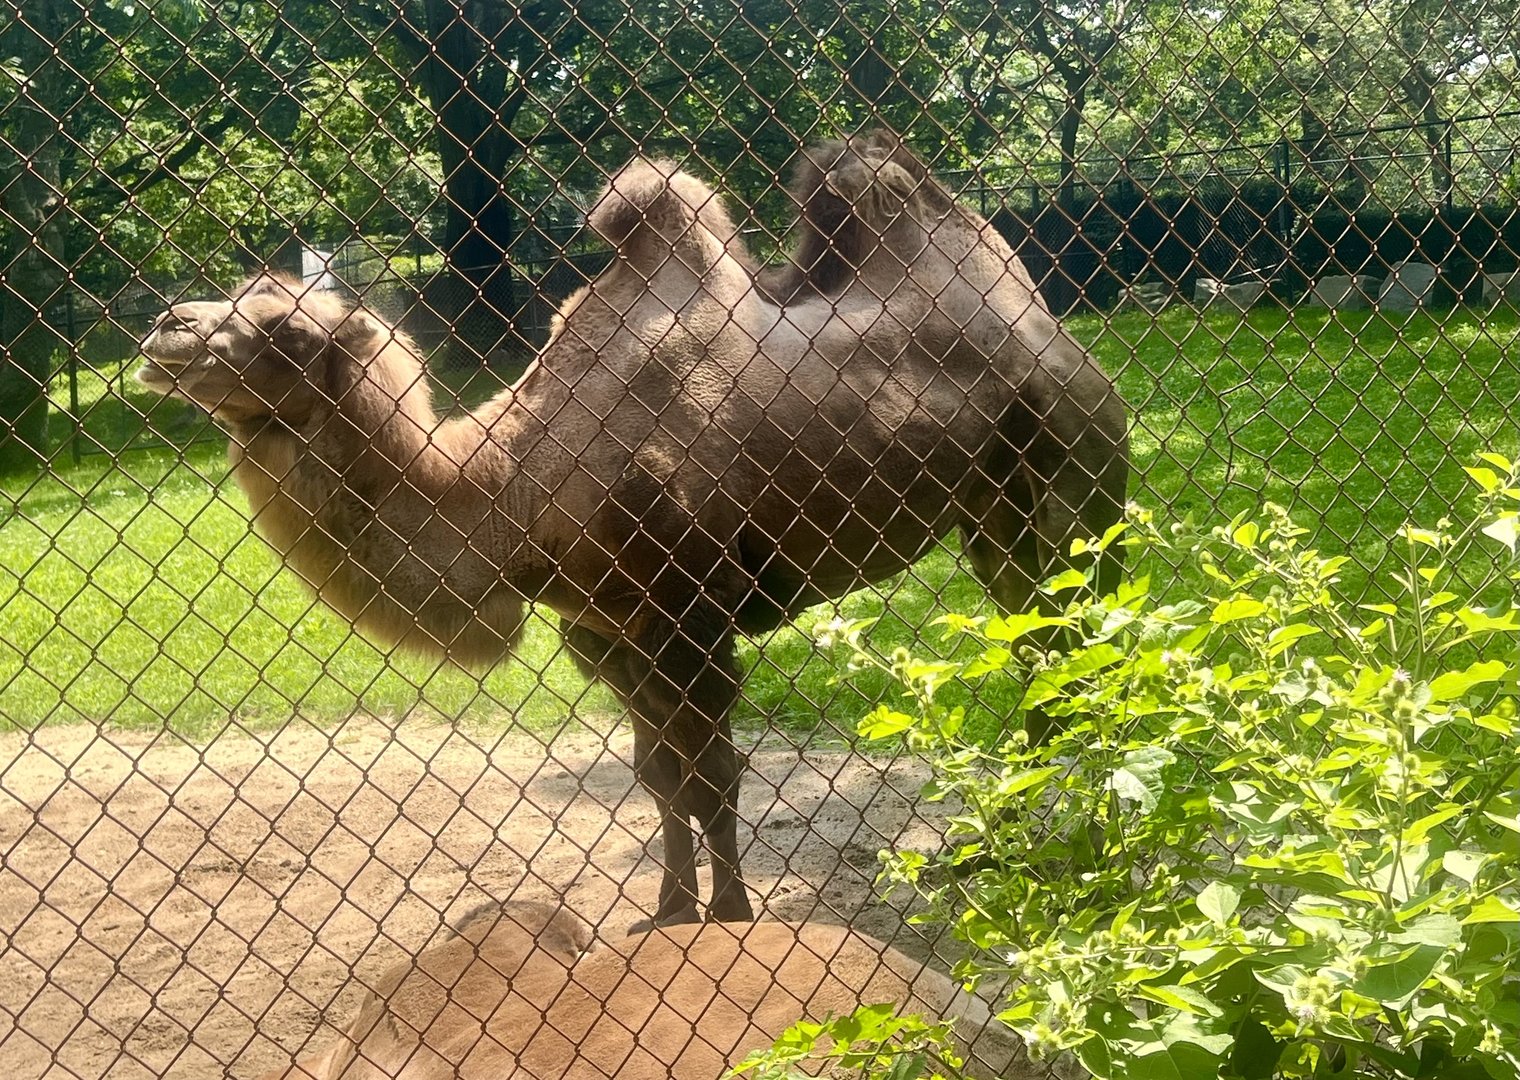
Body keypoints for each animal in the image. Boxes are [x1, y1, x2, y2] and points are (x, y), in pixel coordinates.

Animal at [136, 131, 1129, 928]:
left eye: (287, 329)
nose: (166, 328)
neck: (510, 489)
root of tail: (1056, 338)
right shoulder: (603, 629)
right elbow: (659, 776)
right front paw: (669, 909)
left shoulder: (691, 611)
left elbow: (713, 769)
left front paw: (729, 912)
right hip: (995, 524)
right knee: (1044, 654)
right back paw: (1018, 833)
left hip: (1076, 479)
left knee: (1086, 646)